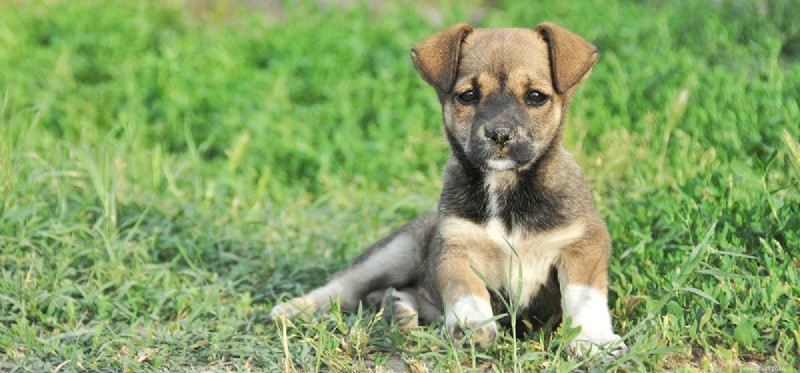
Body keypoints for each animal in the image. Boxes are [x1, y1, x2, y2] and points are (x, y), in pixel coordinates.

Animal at [272, 21, 628, 356]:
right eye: (467, 95)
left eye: (536, 96)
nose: (499, 135)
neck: (504, 188)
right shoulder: (454, 247)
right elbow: (465, 289)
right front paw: (472, 324)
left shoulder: (584, 243)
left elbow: (584, 297)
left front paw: (594, 340)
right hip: (394, 252)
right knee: (343, 288)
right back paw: (294, 309)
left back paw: (399, 309)